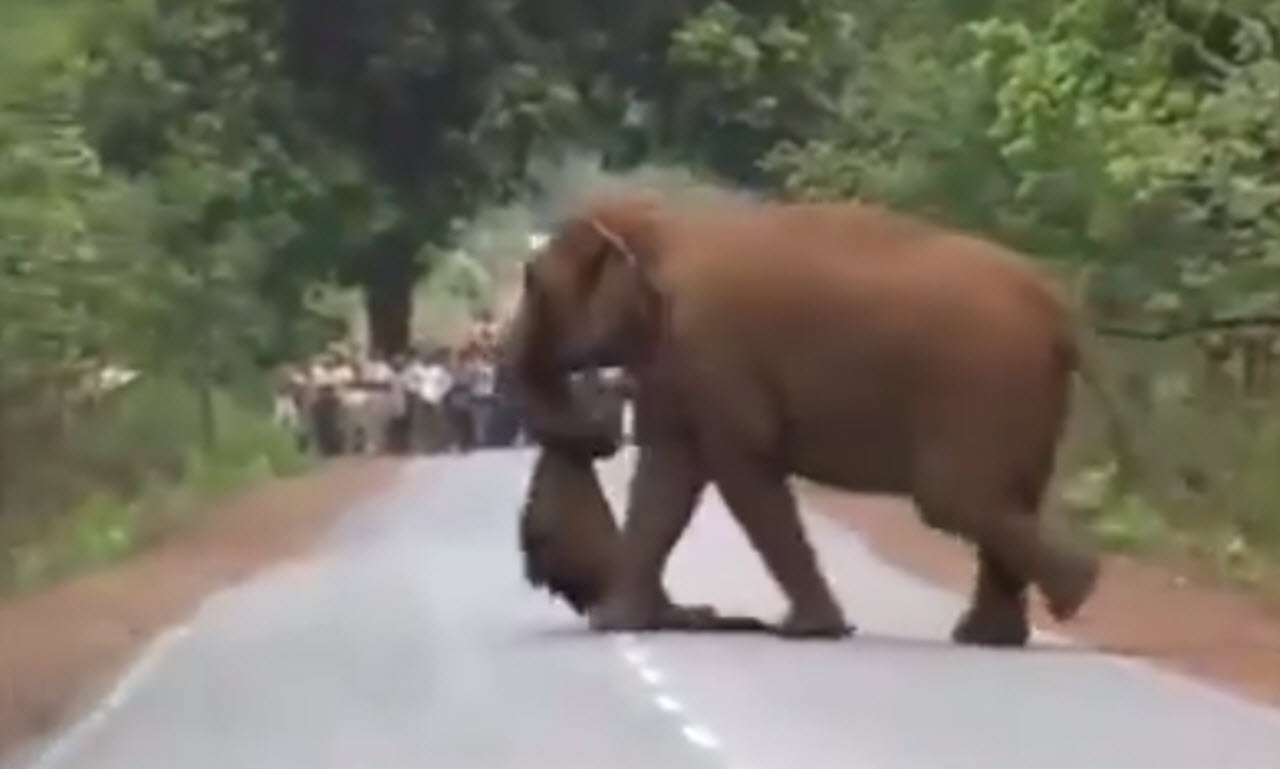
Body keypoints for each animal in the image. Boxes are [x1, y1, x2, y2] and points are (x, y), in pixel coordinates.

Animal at [504, 191, 1105, 647]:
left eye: (532, 282)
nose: (600, 426)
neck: (661, 221)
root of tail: (1060, 310)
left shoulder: (712, 349)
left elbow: (740, 469)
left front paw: (810, 632)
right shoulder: (678, 360)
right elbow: (667, 474)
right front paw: (619, 623)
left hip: (984, 386)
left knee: (955, 498)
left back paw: (1076, 593)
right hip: (1025, 396)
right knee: (1006, 497)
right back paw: (995, 635)